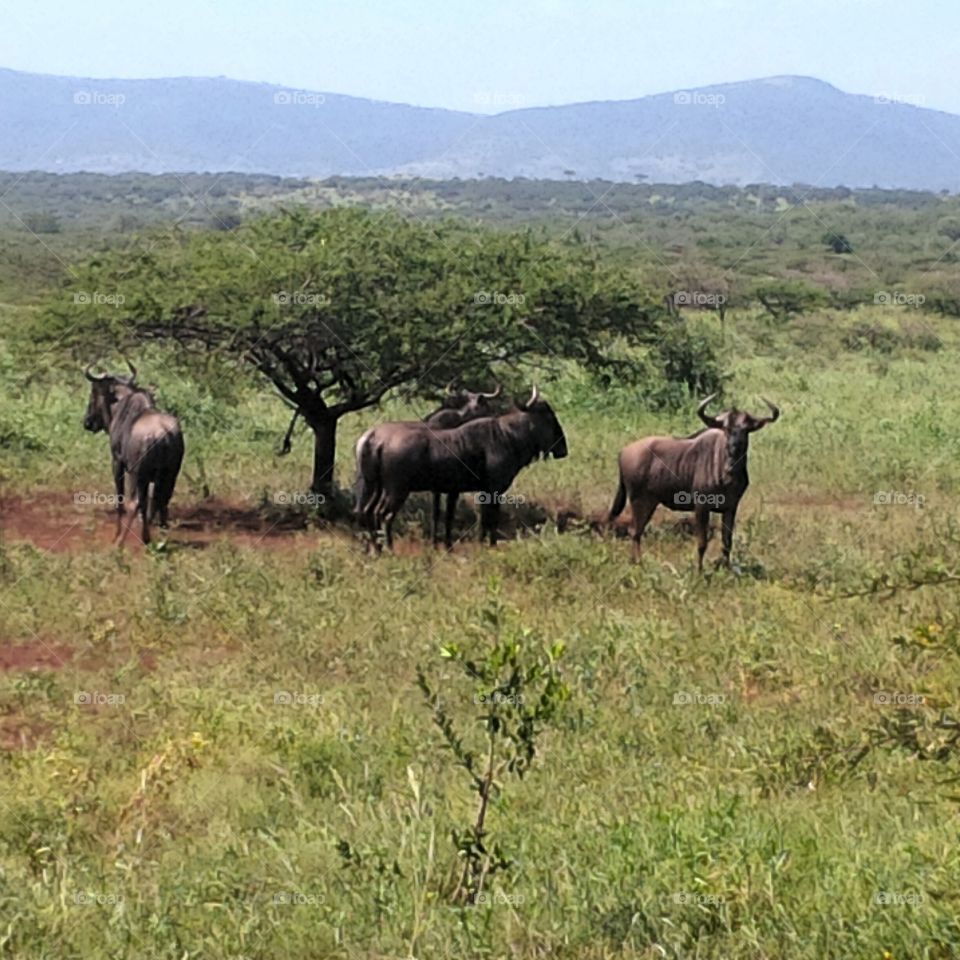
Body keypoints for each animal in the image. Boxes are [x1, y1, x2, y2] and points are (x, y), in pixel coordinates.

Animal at [83, 362, 185, 545]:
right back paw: (161, 535)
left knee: (137, 502)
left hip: (138, 474)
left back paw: (128, 539)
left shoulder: (118, 462)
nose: (87, 422)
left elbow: (120, 498)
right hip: (171, 474)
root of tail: (165, 435)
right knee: (163, 499)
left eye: (94, 392)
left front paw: (116, 533)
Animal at [358, 386, 567, 550]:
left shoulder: (467, 491)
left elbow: (476, 520)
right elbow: (491, 519)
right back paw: (389, 548)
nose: (563, 449)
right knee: (384, 515)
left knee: (369, 511)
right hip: (397, 491)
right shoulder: (493, 490)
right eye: (549, 416)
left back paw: (376, 548)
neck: (509, 436)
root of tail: (375, 440)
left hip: (375, 487)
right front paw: (490, 545)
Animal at [609, 394, 779, 570]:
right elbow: (702, 543)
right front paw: (699, 571)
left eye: (746, 429)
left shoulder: (731, 507)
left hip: (650, 502)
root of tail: (623, 452)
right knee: (634, 531)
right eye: (726, 429)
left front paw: (726, 569)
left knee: (636, 531)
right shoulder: (701, 506)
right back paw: (638, 563)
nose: (734, 449)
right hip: (639, 501)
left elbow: (727, 542)